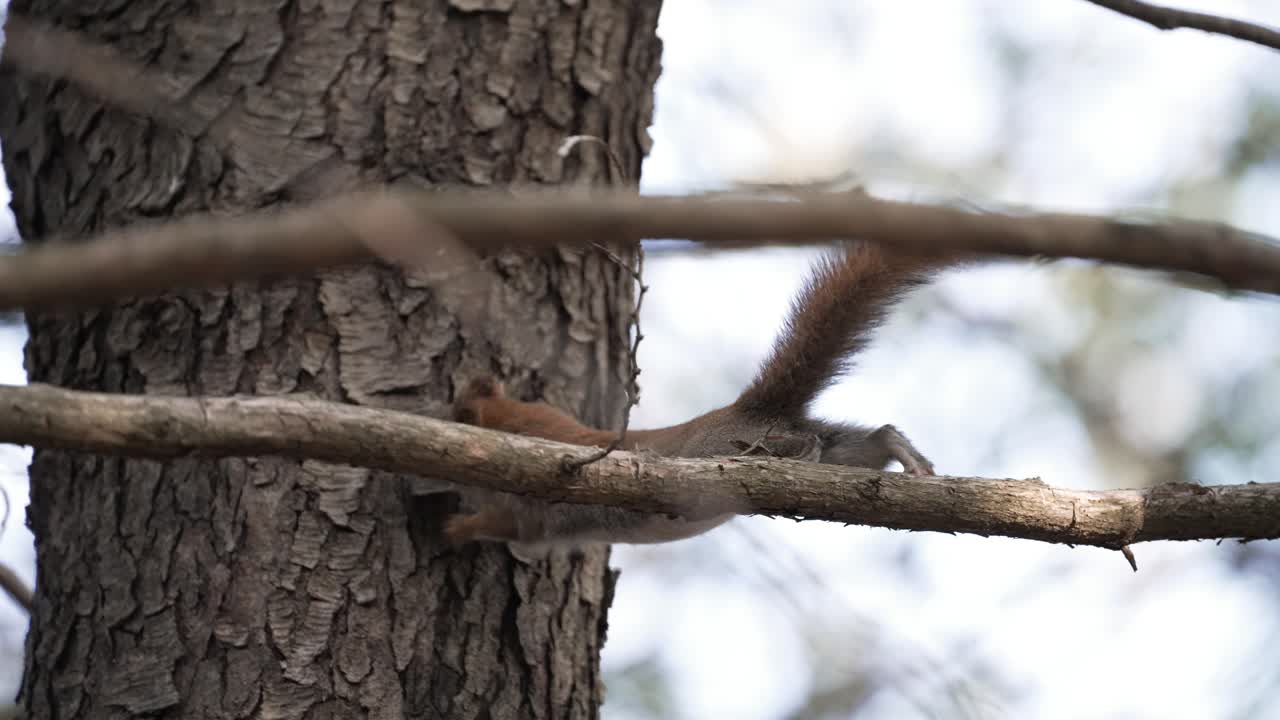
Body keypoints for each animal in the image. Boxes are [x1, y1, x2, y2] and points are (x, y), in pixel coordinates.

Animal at [444, 240, 961, 548]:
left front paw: (454, 528)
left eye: (460, 414)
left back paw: (798, 453)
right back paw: (905, 455)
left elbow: (504, 528)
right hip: (842, 457)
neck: (518, 426)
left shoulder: (529, 509)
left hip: (724, 451)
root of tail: (753, 409)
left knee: (800, 446)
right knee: (869, 440)